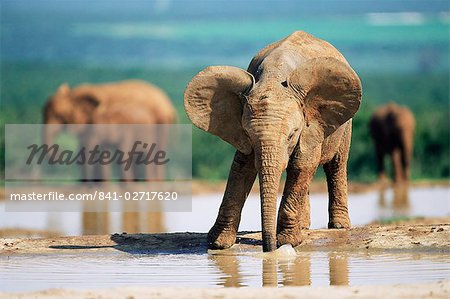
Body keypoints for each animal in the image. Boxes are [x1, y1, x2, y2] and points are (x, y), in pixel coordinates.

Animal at [183, 30, 362, 252]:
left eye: (292, 134)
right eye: (248, 134)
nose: (269, 249)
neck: (274, 77)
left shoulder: (311, 127)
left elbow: (302, 165)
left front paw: (287, 241)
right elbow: (241, 167)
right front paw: (218, 243)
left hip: (344, 125)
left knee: (336, 164)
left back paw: (339, 226)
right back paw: (304, 226)